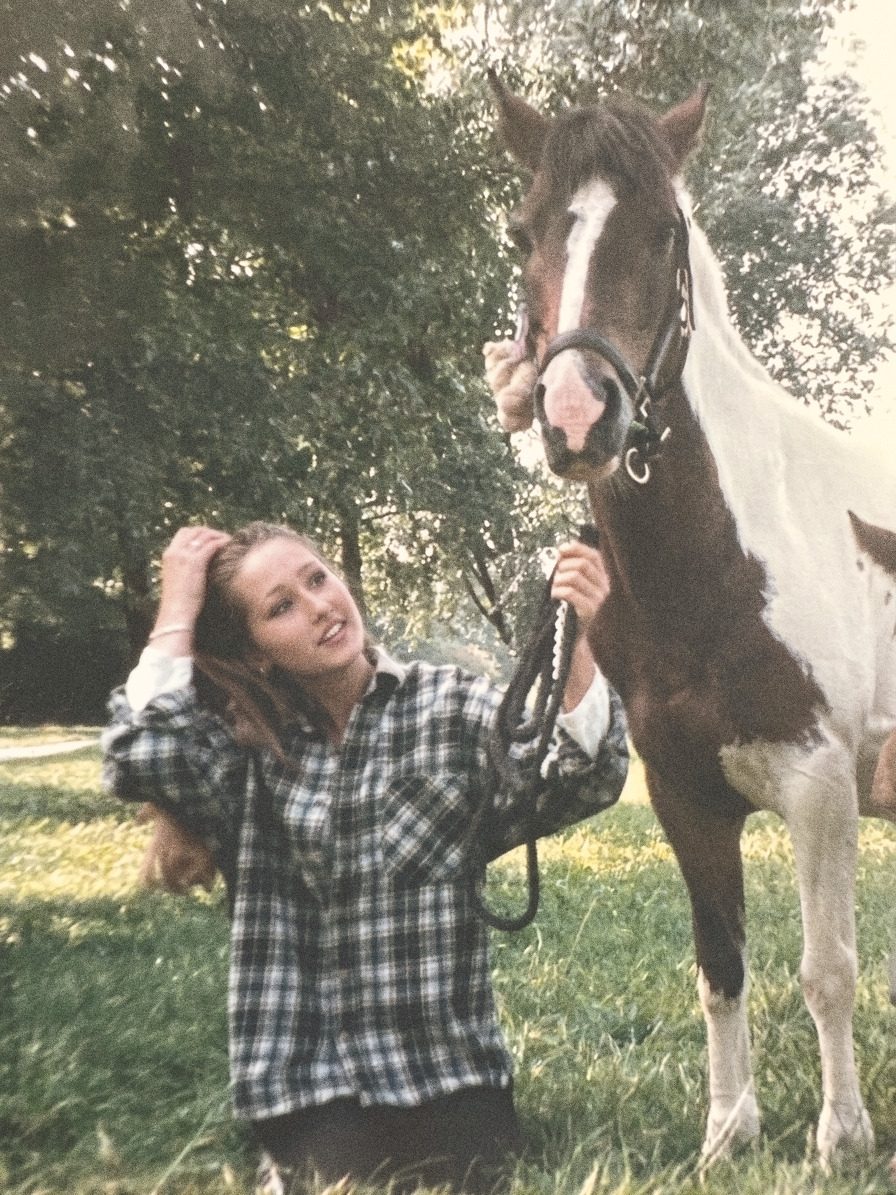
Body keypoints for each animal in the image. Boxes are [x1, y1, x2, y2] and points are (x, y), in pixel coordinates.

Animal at [483, 74, 896, 1168]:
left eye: (664, 230)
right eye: (521, 230)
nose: (578, 416)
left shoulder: (819, 786)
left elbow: (827, 969)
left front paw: (839, 1137)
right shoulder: (683, 793)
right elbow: (720, 966)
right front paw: (727, 1130)